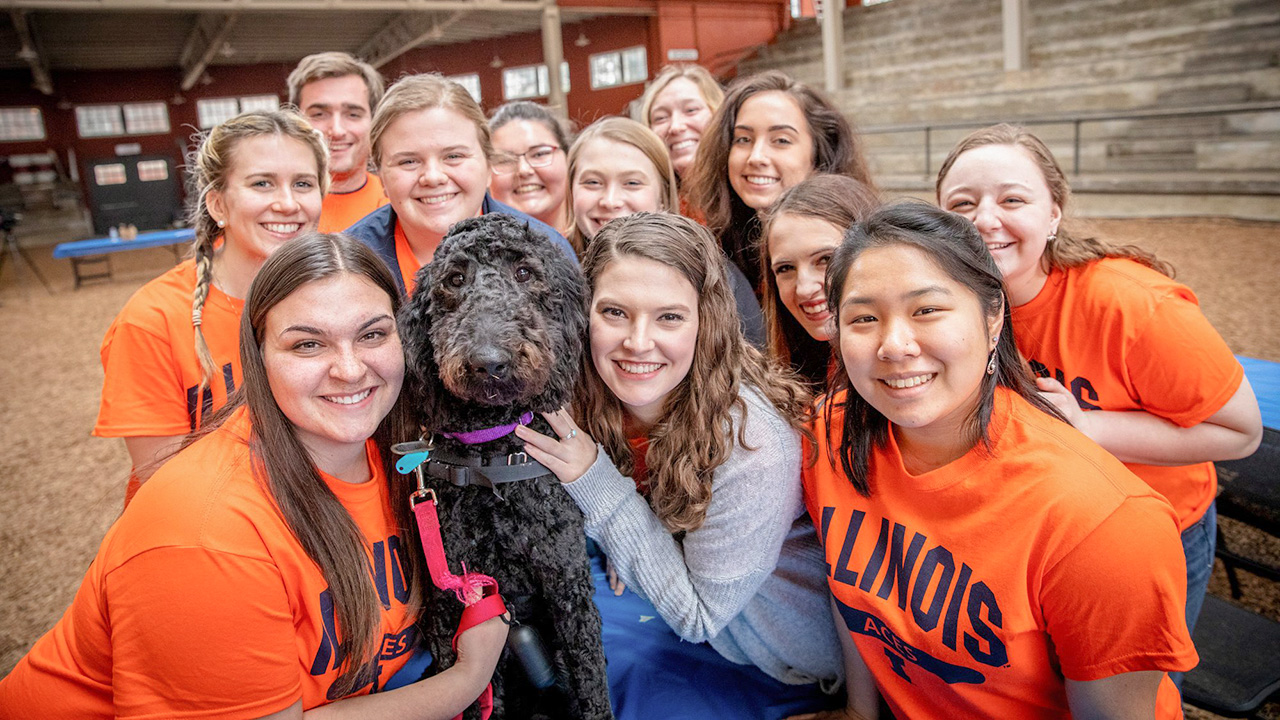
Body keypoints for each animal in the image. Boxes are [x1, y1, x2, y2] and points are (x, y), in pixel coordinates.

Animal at [401, 212, 616, 717]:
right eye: (454, 280)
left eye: (524, 273)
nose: (489, 363)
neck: (492, 454)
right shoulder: (458, 602)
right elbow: (479, 695)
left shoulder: (567, 583)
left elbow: (591, 680)